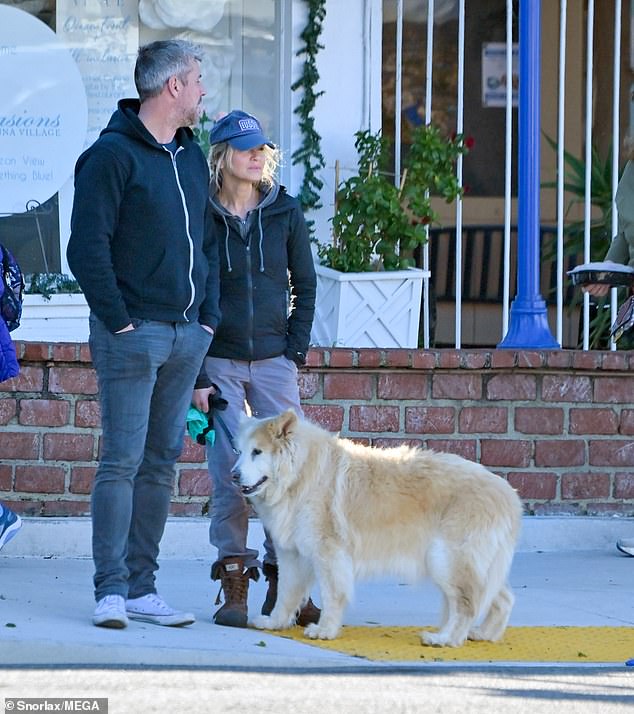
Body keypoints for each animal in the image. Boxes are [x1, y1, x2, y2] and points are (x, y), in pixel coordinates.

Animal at [231, 406, 520, 644]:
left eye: (257, 452)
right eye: (239, 452)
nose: (233, 475)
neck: (300, 474)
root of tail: (508, 494)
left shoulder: (329, 552)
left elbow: (332, 594)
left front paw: (325, 630)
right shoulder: (292, 554)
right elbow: (286, 592)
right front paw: (275, 622)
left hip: (446, 559)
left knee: (467, 603)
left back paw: (445, 639)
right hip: (474, 563)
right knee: (502, 599)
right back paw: (483, 634)